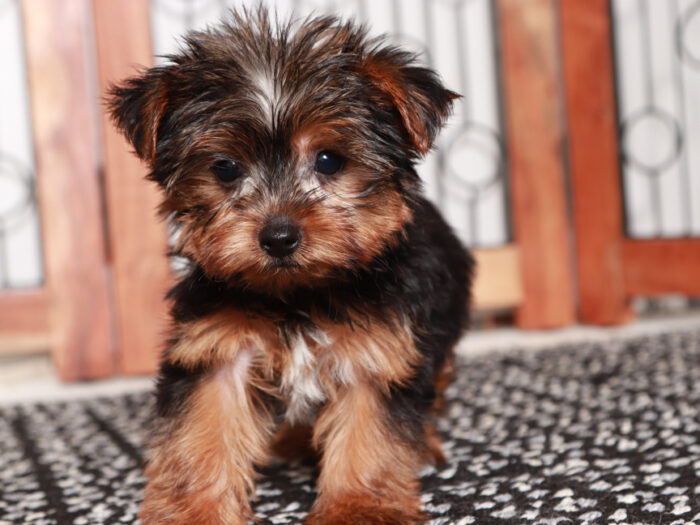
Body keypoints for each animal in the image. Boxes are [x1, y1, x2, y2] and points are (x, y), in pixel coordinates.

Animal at [109, 8, 474, 524]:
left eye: (329, 160)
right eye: (225, 168)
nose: (278, 237)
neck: (299, 293)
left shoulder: (379, 347)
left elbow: (369, 434)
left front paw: (360, 509)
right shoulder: (214, 341)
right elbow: (202, 429)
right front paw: (194, 509)